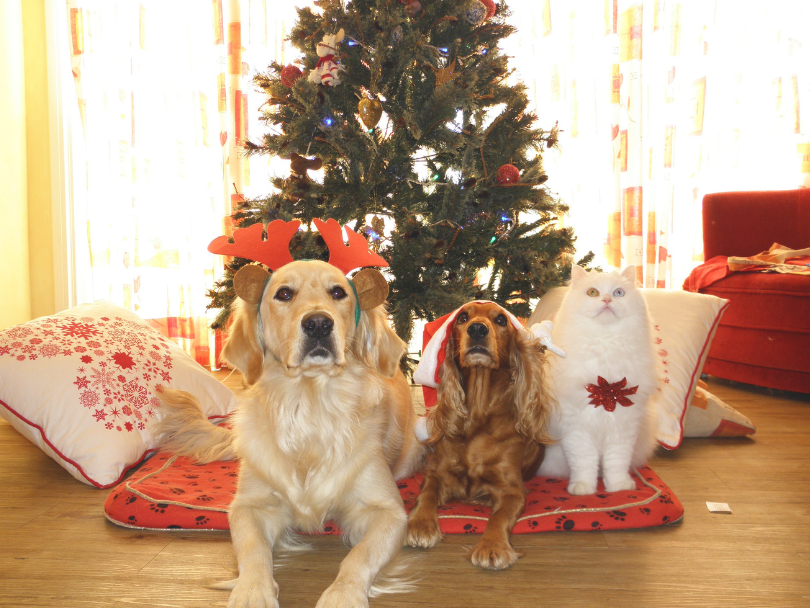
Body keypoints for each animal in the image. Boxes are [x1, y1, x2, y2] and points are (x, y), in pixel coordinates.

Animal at [536, 266, 656, 494]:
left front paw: (618, 487)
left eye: (618, 293)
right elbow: (584, 464)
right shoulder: (577, 427)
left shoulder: (623, 427)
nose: (607, 299)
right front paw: (583, 489)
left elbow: (616, 463)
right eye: (593, 293)